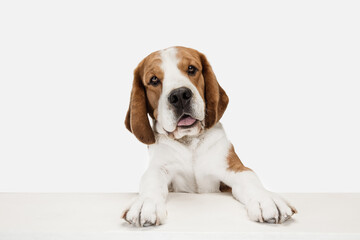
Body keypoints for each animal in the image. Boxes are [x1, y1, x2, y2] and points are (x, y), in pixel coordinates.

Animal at [122, 46, 296, 227]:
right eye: (154, 79)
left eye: (191, 69)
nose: (179, 95)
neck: (189, 142)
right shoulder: (159, 168)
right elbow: (151, 181)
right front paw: (146, 203)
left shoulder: (232, 167)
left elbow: (249, 177)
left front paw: (266, 199)